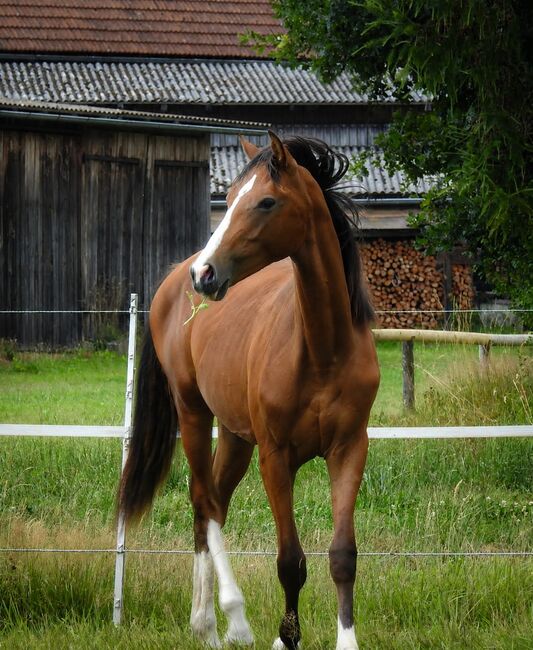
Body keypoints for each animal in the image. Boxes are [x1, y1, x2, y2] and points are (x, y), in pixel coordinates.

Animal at [119, 131, 380, 649]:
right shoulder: (275, 457)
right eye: (229, 197)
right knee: (205, 501)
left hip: (236, 437)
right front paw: (286, 638)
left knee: (210, 504)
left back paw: (204, 625)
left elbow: (343, 554)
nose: (205, 274)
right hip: (194, 414)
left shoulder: (349, 449)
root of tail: (170, 281)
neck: (323, 350)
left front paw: (345, 639)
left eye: (265, 201)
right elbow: (290, 561)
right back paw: (230, 618)